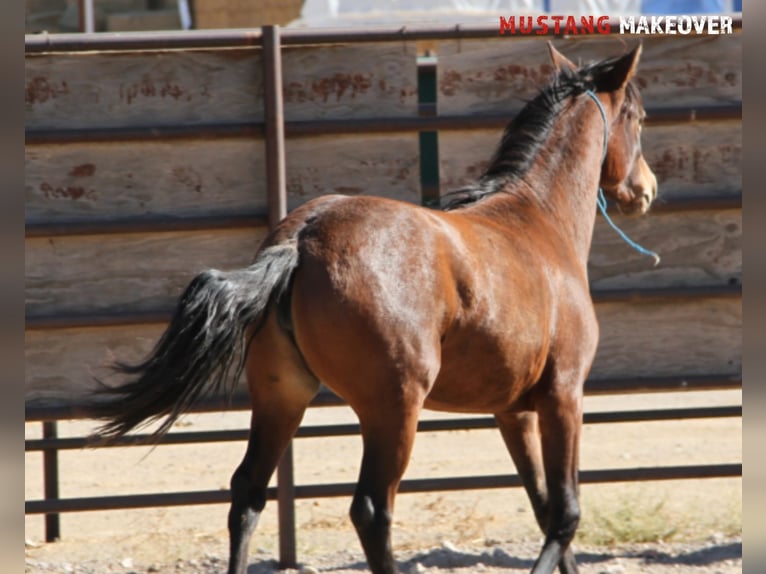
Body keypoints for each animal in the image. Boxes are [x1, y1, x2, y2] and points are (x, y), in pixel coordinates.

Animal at [88, 41, 656, 574]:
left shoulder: (512, 410)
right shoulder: (563, 395)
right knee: (371, 510)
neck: (538, 222)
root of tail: (303, 237)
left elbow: (542, 505)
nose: (645, 189)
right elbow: (565, 513)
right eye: (639, 116)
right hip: (394, 407)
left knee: (247, 493)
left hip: (282, 395)